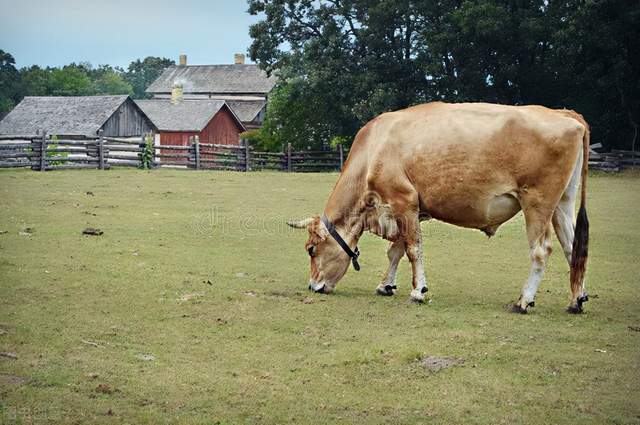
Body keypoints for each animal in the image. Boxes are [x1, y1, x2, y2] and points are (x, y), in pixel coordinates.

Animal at [286, 101, 592, 314]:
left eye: (311, 249)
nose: (313, 286)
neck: (374, 149)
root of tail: (565, 114)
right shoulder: (405, 210)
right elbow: (396, 250)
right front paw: (386, 285)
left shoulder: (404, 201)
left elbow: (412, 249)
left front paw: (418, 291)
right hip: (562, 204)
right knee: (572, 248)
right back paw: (576, 300)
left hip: (537, 203)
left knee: (541, 251)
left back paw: (524, 301)